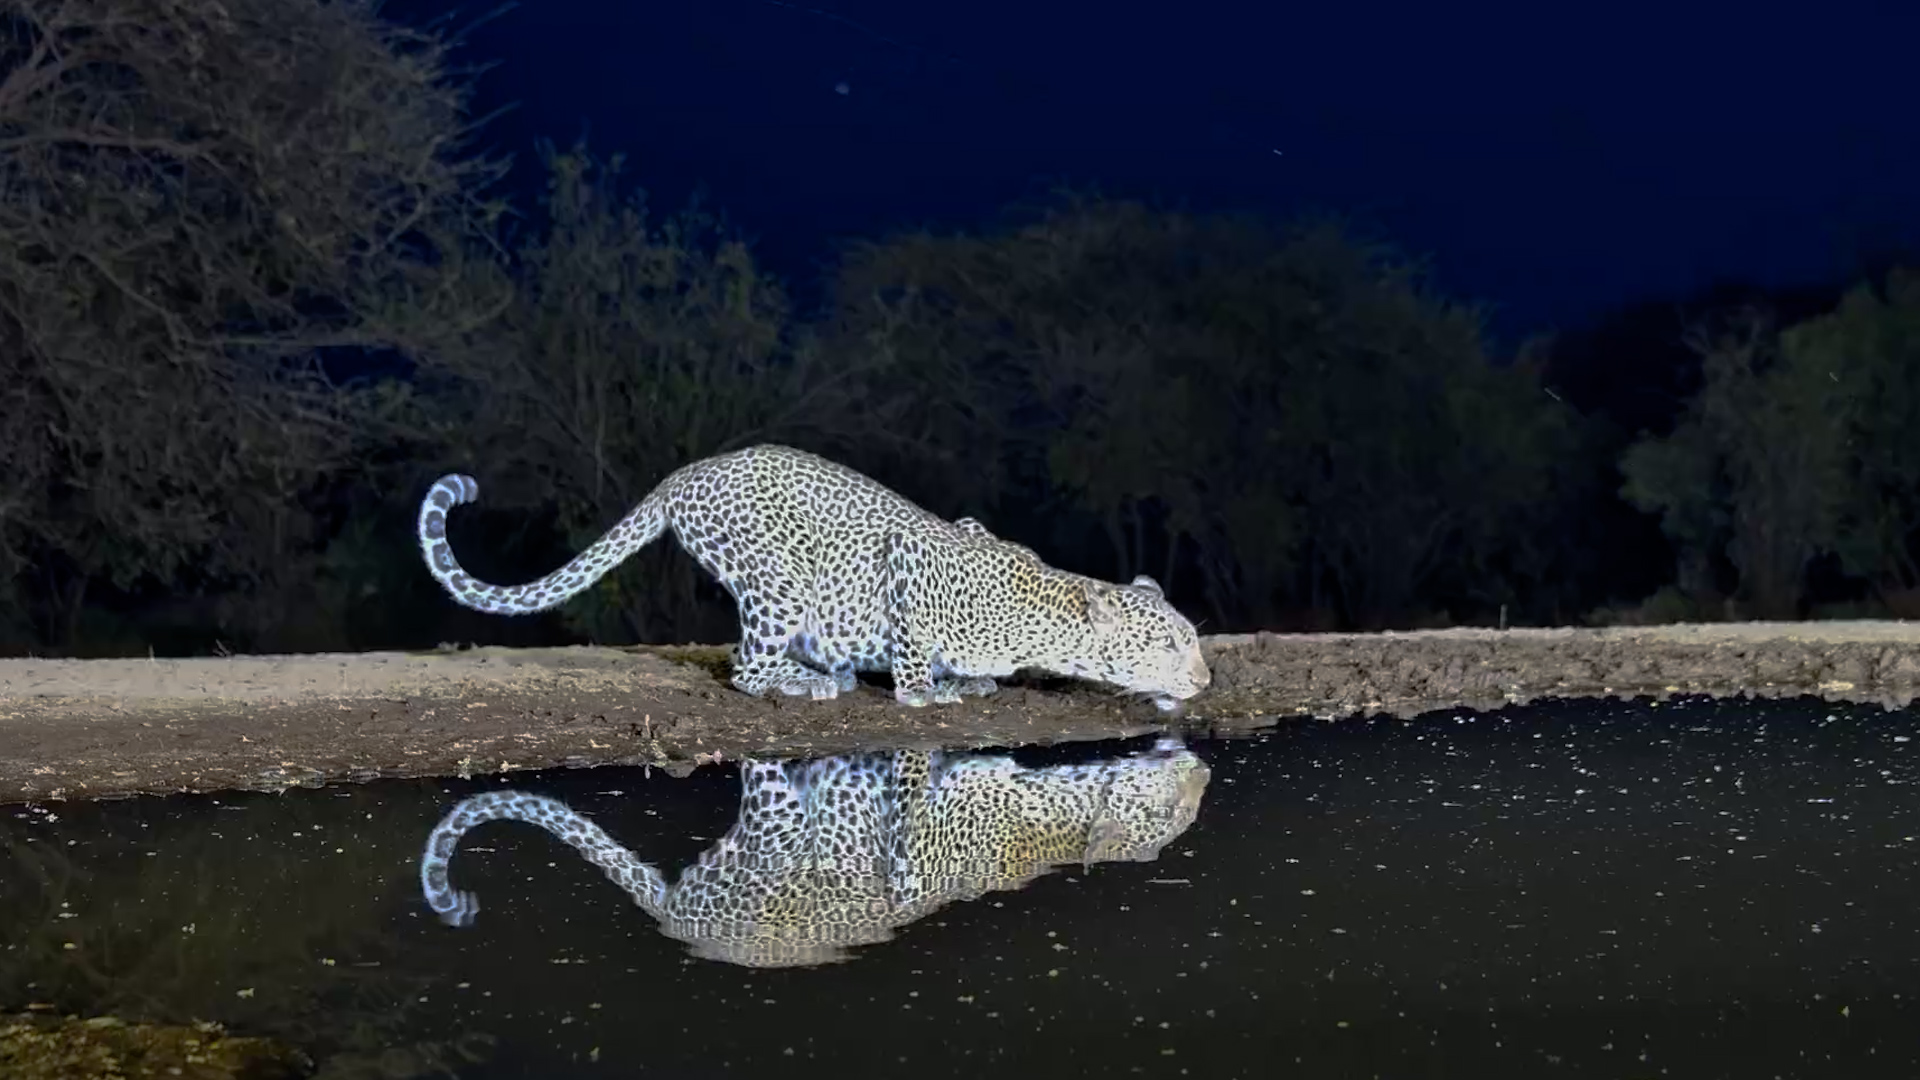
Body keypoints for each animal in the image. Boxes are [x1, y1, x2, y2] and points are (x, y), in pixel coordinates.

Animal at [416, 444, 1210, 711]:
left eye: (1193, 638)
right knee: (744, 670)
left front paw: (972, 680)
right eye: (1170, 645)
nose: (1204, 679)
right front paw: (926, 691)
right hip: (778, 584)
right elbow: (912, 645)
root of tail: (682, 476)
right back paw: (812, 682)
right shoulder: (910, 558)